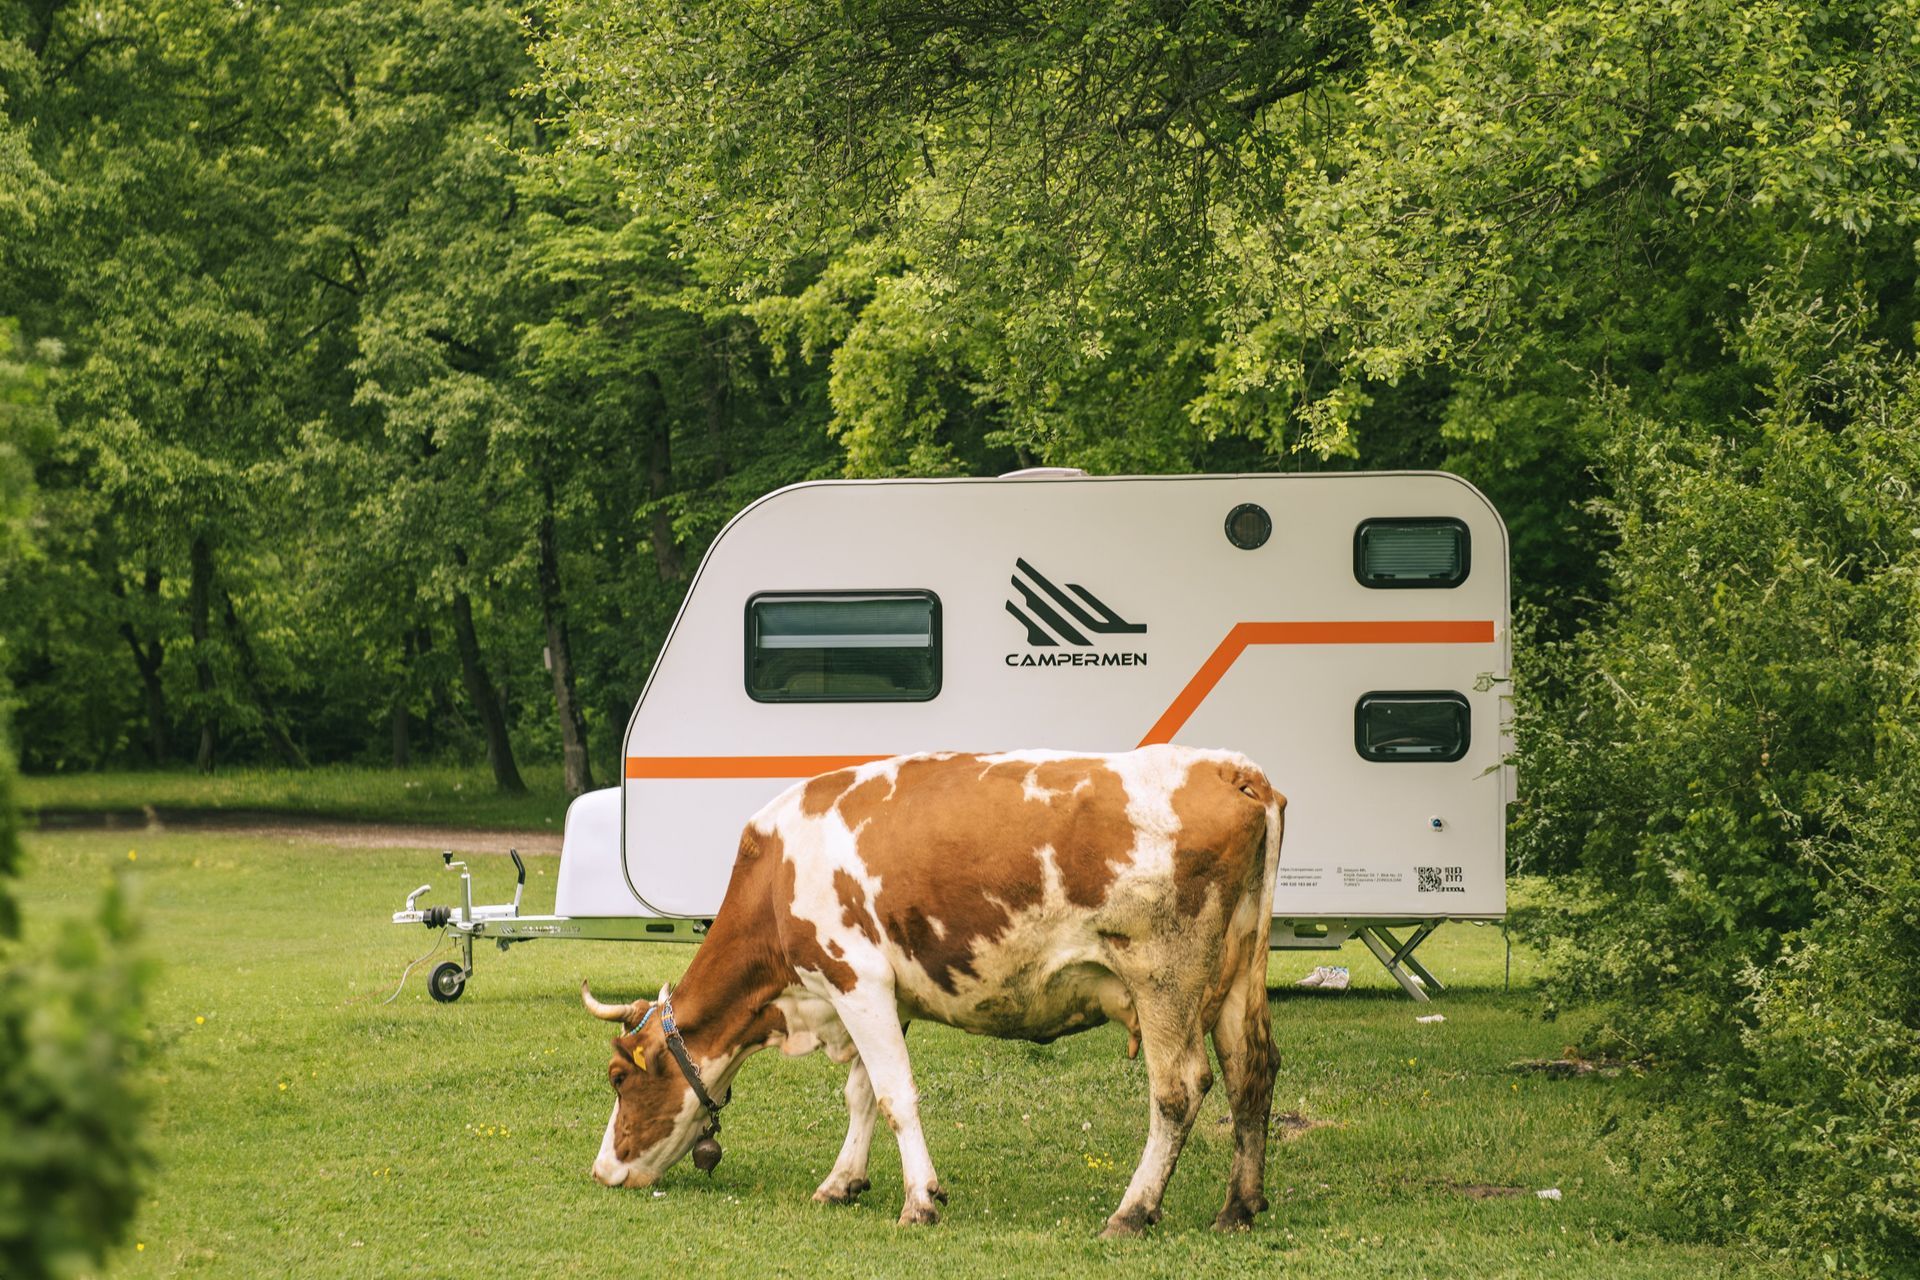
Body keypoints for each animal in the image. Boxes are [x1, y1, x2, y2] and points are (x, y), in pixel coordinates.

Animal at [580, 745, 1285, 1237]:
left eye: (618, 1077)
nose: (603, 1171)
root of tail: (1229, 767)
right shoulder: (885, 995)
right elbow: (862, 1093)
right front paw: (843, 1181)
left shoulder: (853, 976)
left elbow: (895, 1095)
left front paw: (919, 1200)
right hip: (1237, 974)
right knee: (1251, 1070)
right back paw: (1239, 1208)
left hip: (1164, 976)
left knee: (1179, 1088)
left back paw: (1133, 1212)